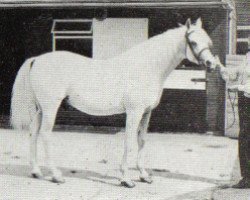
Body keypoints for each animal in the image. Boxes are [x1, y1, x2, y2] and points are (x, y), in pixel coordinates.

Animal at [9, 18, 217, 188]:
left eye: (208, 41)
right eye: (193, 42)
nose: (212, 64)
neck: (146, 67)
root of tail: (37, 59)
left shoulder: (146, 112)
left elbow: (142, 141)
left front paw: (144, 176)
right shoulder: (134, 112)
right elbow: (129, 142)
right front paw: (126, 179)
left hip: (41, 108)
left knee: (33, 132)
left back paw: (36, 171)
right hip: (51, 106)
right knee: (45, 134)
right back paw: (56, 176)